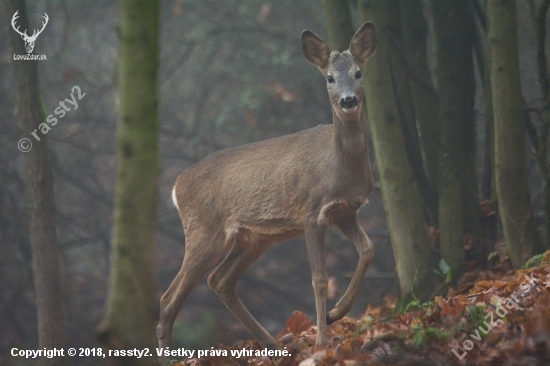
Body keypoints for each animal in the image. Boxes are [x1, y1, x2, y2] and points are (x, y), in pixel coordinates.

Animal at [157, 20, 378, 360]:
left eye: (358, 72)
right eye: (329, 77)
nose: (348, 100)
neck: (339, 167)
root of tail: (176, 186)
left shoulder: (346, 211)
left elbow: (367, 249)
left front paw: (335, 314)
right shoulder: (312, 212)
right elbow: (319, 278)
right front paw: (321, 342)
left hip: (252, 239)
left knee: (219, 281)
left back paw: (274, 346)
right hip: (204, 233)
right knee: (169, 297)